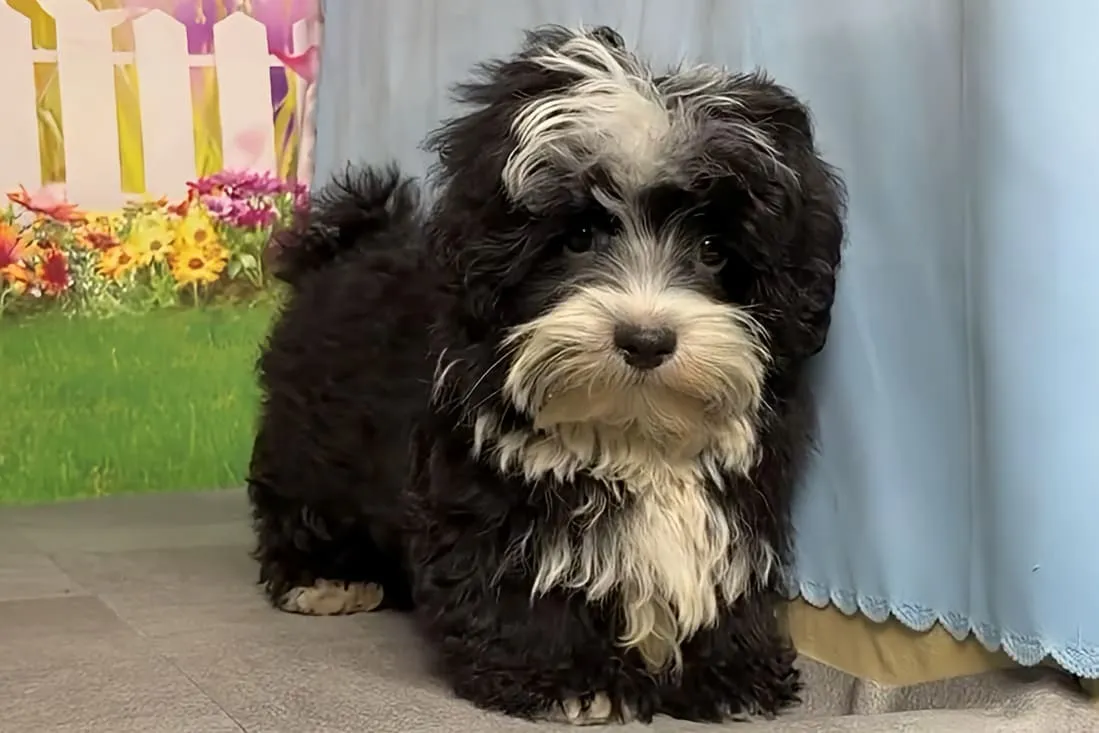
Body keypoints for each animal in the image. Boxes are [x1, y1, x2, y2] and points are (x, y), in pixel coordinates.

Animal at [248, 24, 845, 725]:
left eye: (711, 250)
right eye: (580, 235)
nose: (645, 339)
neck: (631, 428)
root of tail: (345, 244)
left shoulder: (738, 491)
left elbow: (722, 568)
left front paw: (728, 668)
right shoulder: (492, 483)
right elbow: (524, 569)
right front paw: (566, 674)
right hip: (310, 440)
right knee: (299, 499)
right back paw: (321, 575)